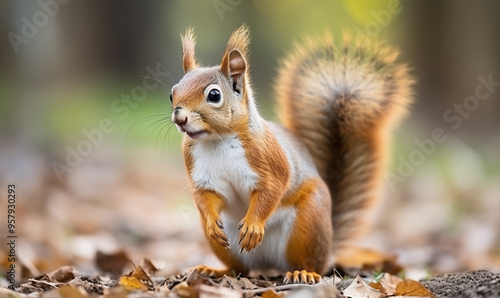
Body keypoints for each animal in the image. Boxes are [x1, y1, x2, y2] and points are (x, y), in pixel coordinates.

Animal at [170, 25, 412, 284]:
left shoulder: (271, 160)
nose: (179, 117)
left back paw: (303, 272)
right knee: (238, 269)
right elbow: (205, 197)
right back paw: (215, 270)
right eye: (172, 94)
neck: (217, 141)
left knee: (309, 262)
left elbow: (272, 190)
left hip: (309, 225)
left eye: (214, 95)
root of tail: (268, 263)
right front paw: (211, 225)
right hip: (231, 247)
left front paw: (254, 226)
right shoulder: (201, 174)